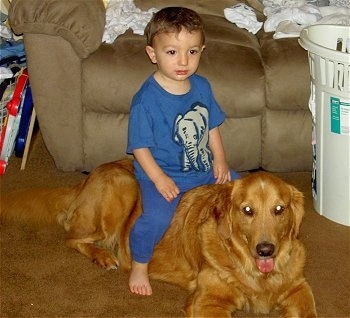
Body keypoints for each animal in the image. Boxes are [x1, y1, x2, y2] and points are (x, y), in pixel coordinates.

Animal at [0, 160, 318, 316]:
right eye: (247, 210)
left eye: (279, 209)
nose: (266, 250)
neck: (258, 276)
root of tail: (86, 178)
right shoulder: (207, 301)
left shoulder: (299, 289)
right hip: (124, 186)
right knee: (72, 237)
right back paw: (105, 257)